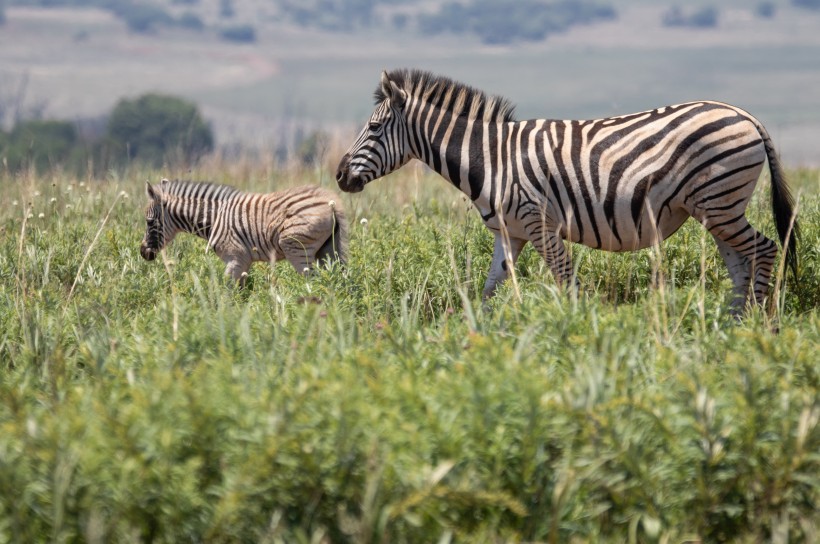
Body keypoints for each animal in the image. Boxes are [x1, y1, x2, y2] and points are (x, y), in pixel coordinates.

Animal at [139, 180, 348, 284]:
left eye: (149, 222)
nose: (143, 253)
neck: (214, 219)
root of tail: (331, 204)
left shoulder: (235, 258)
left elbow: (226, 289)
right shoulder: (244, 261)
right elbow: (242, 291)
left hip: (298, 249)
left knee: (314, 281)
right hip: (327, 250)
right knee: (335, 277)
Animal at [336, 69, 796, 314]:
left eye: (373, 128)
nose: (340, 175)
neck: (491, 159)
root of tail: (744, 114)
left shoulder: (540, 224)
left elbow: (566, 282)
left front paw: (576, 334)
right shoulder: (509, 233)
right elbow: (490, 288)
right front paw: (475, 338)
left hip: (721, 204)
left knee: (766, 249)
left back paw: (758, 325)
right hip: (715, 210)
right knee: (740, 265)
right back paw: (729, 329)